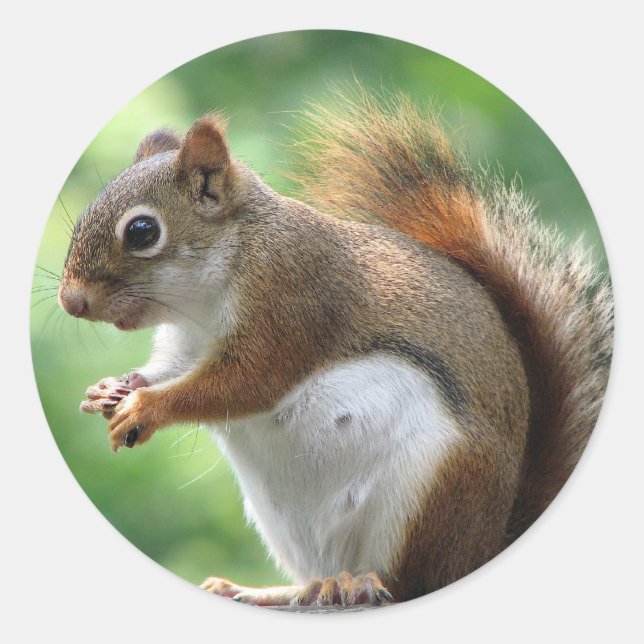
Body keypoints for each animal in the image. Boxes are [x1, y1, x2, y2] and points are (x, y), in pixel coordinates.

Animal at [57, 89, 613, 607]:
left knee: (411, 582)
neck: (203, 297)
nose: (70, 301)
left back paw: (361, 584)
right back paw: (270, 590)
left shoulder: (291, 302)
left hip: (431, 491)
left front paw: (145, 408)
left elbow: (244, 384)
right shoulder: (184, 347)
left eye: (142, 230)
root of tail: (487, 545)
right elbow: (166, 369)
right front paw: (108, 390)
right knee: (313, 581)